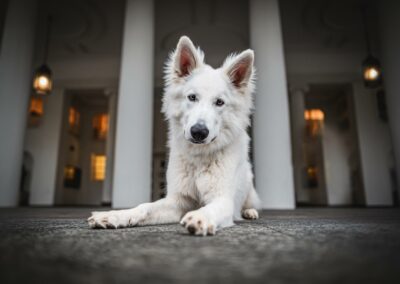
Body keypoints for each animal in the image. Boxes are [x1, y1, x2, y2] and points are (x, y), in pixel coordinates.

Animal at [88, 35, 260, 235]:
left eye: (219, 102)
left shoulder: (223, 199)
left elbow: (211, 208)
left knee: (250, 205)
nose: (199, 132)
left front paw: (200, 217)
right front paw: (115, 215)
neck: (198, 159)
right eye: (192, 97)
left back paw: (250, 212)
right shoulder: (177, 201)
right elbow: (144, 207)